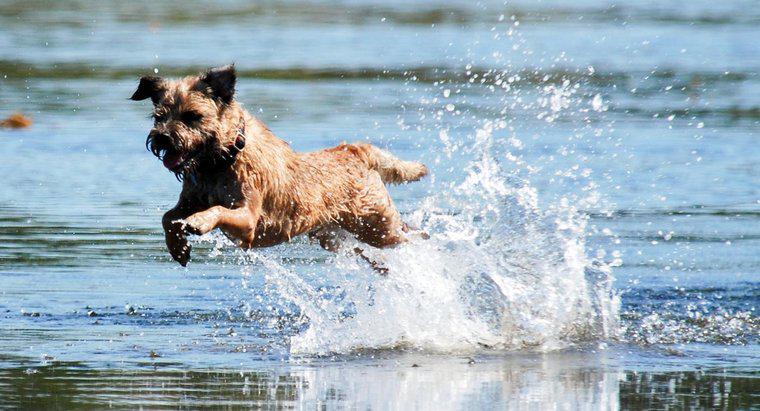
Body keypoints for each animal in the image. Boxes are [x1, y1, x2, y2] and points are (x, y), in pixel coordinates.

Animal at [131, 65, 428, 268]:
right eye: (158, 117)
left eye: (193, 116)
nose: (162, 137)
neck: (223, 159)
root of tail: (356, 151)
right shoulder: (189, 200)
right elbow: (167, 217)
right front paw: (178, 248)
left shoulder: (248, 220)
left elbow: (218, 210)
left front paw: (199, 222)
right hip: (334, 237)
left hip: (377, 226)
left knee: (411, 235)